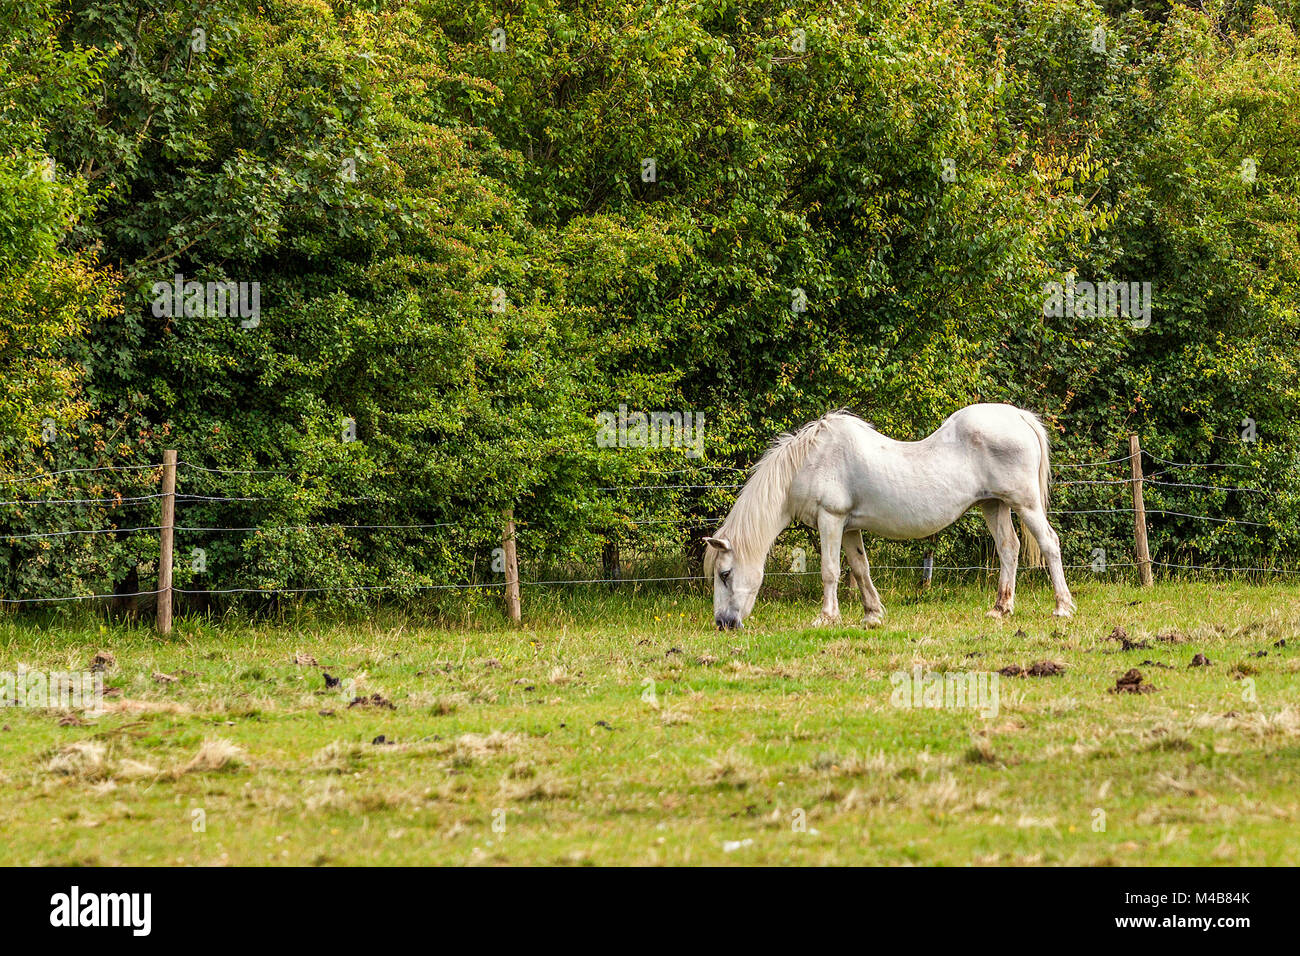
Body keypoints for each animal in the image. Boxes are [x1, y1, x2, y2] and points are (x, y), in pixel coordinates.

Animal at [703, 403, 1074, 629]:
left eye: (725, 574)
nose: (724, 624)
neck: (811, 459)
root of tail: (1020, 417)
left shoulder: (830, 519)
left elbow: (830, 571)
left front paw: (827, 617)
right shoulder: (848, 527)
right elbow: (860, 568)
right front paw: (872, 615)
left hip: (1025, 503)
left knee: (1050, 543)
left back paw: (1062, 607)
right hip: (994, 504)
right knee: (1008, 548)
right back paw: (1000, 608)